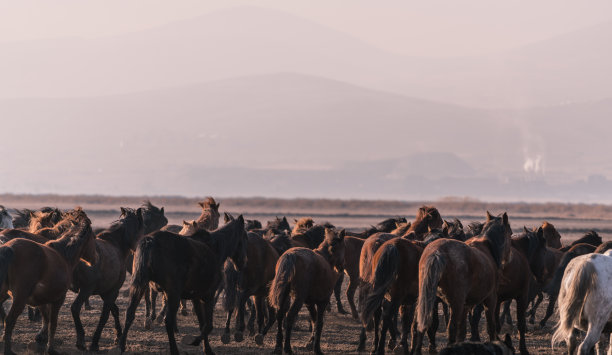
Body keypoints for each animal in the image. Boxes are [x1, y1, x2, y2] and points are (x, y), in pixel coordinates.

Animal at [0, 209, 94, 355]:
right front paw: (50, 348)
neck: (64, 254)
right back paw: (8, 350)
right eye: (93, 237)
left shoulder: (43, 298)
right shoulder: (58, 298)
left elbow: (46, 318)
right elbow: (52, 323)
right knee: (9, 321)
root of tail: (8, 248)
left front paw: (41, 338)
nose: (94, 259)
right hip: (19, 298)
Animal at [70, 207, 145, 352]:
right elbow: (104, 316)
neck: (116, 245)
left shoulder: (105, 292)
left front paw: (118, 336)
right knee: (75, 309)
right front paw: (95, 343)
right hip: (85, 291)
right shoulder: (112, 292)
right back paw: (80, 341)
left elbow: (114, 310)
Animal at [118, 214, 247, 355]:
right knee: (168, 320)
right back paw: (174, 350)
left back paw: (121, 346)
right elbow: (208, 325)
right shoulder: (208, 295)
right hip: (172, 293)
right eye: (245, 237)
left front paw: (206, 348)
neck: (215, 248)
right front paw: (195, 342)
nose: (243, 263)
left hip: (139, 285)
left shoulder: (196, 298)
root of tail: (149, 241)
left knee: (130, 313)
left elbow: (202, 324)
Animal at [412, 213, 512, 354]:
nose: (509, 257)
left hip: (427, 298)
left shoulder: (465, 305)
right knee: (451, 328)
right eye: (510, 232)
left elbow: (462, 331)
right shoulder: (490, 299)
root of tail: (437, 252)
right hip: (455, 303)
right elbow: (490, 326)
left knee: (418, 326)